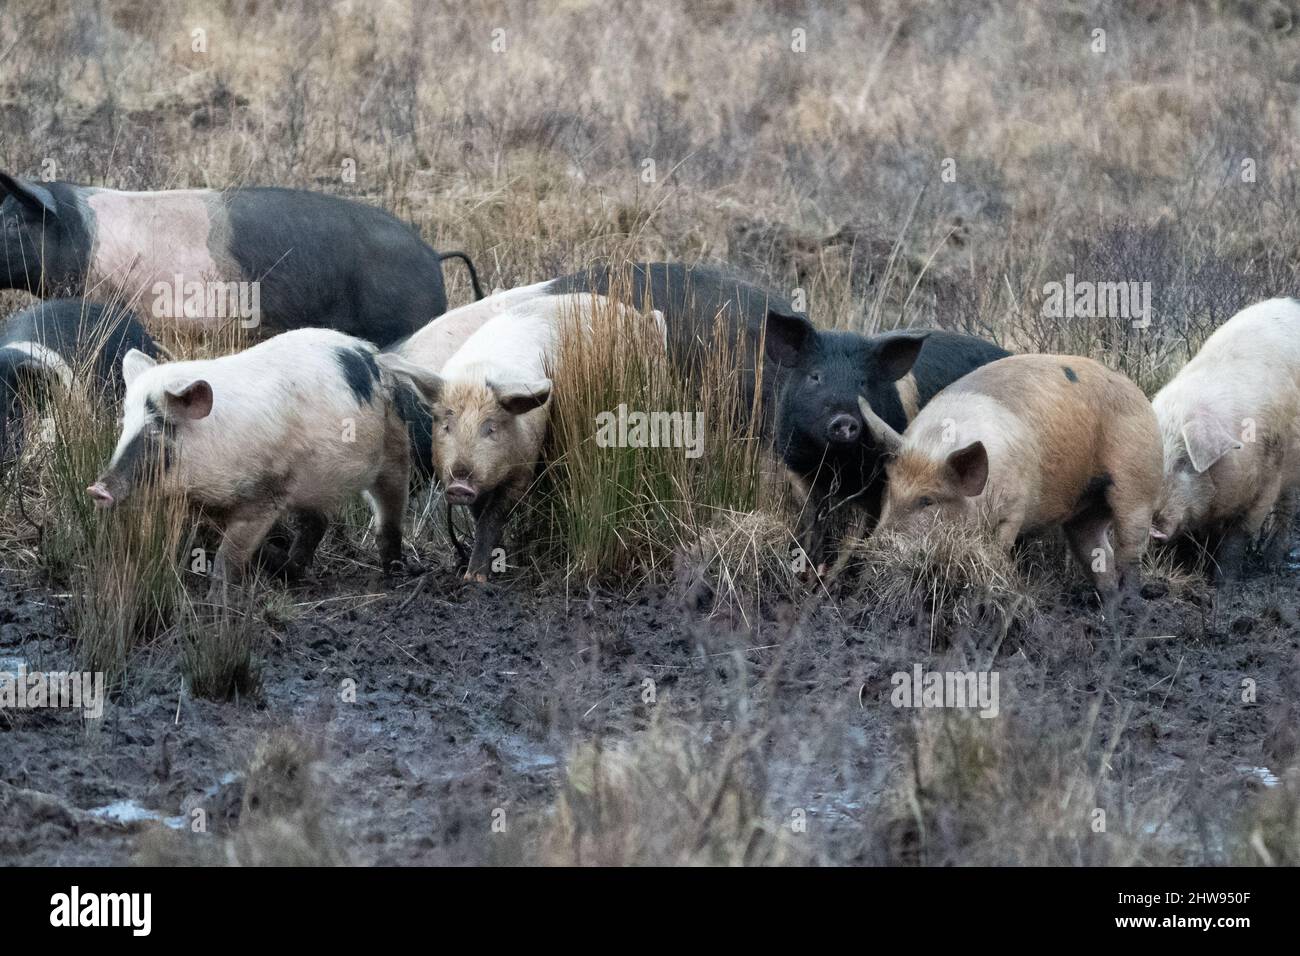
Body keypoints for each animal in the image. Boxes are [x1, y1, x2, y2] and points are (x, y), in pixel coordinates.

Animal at [87, 330, 410, 598]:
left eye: (157, 429)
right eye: (123, 425)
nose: (97, 489)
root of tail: (372, 353)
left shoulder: (265, 494)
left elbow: (227, 558)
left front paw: (216, 605)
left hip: (394, 451)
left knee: (389, 511)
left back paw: (394, 573)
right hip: (313, 481)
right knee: (317, 521)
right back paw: (295, 572)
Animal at [863, 353, 1159, 613]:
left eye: (927, 500)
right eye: (888, 490)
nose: (876, 546)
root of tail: (1139, 394)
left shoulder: (1013, 510)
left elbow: (998, 549)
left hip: (1138, 483)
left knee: (1130, 550)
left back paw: (1132, 608)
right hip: (1085, 511)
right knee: (1096, 551)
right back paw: (1108, 614)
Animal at [1149, 295, 1300, 574]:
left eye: (1185, 463)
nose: (1153, 527)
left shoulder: (1267, 481)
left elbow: (1236, 539)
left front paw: (1221, 581)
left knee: (1287, 505)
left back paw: (1271, 563)